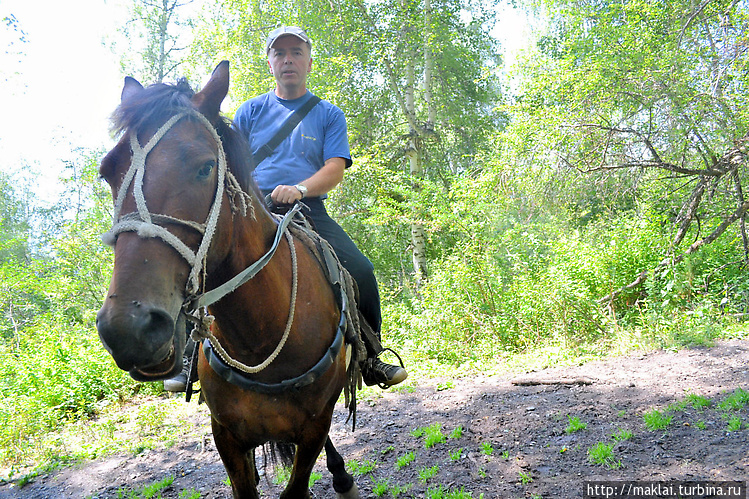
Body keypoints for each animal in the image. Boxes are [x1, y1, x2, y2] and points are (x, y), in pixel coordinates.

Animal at [96, 62, 360, 499]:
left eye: (205, 167)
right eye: (107, 173)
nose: (129, 328)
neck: (261, 335)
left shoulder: (314, 428)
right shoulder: (228, 437)